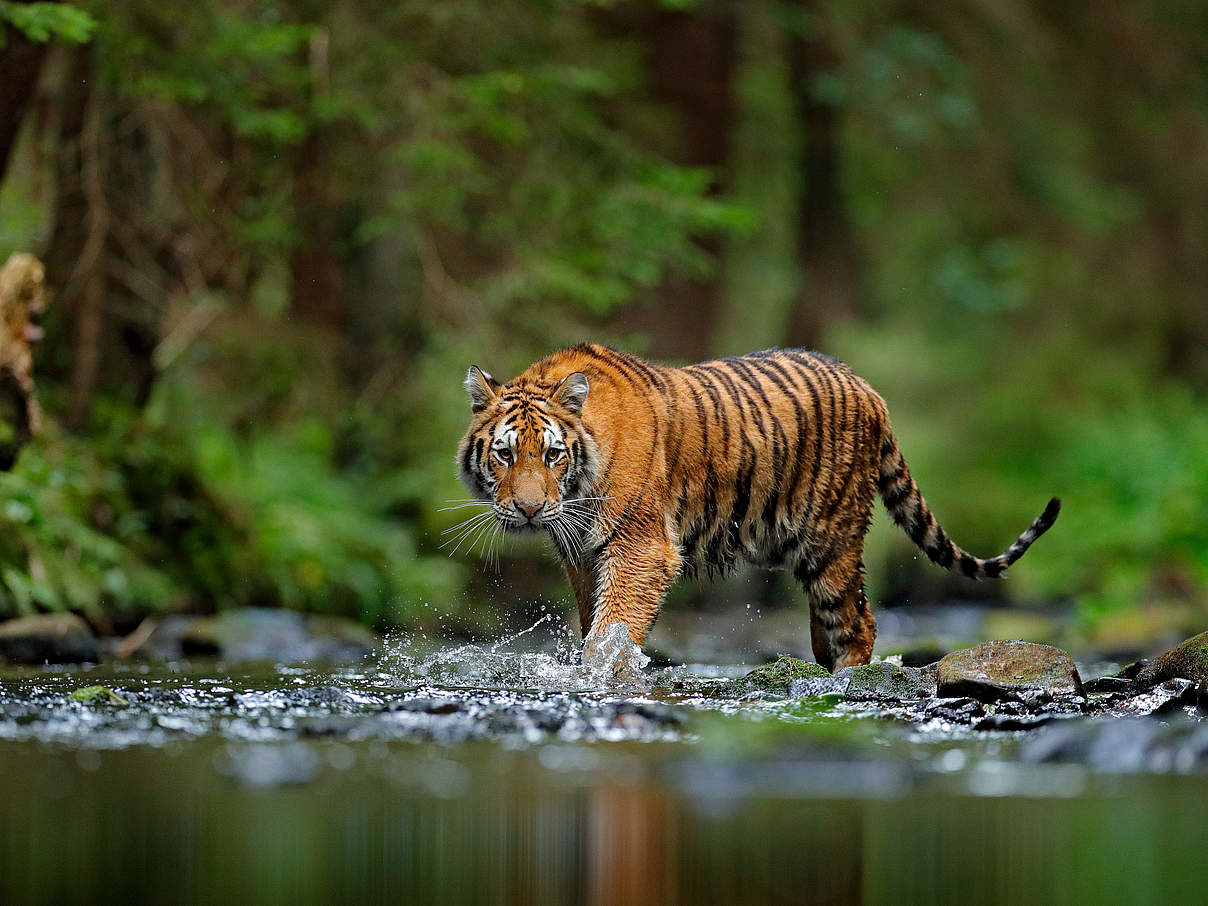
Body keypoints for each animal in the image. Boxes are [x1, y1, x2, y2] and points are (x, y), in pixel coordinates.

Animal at [454, 343, 1058, 671]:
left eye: (553, 455)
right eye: (505, 454)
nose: (529, 510)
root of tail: (868, 388)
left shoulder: (641, 549)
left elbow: (612, 630)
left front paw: (600, 676)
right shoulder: (582, 556)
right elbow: (592, 624)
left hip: (831, 539)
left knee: (858, 621)